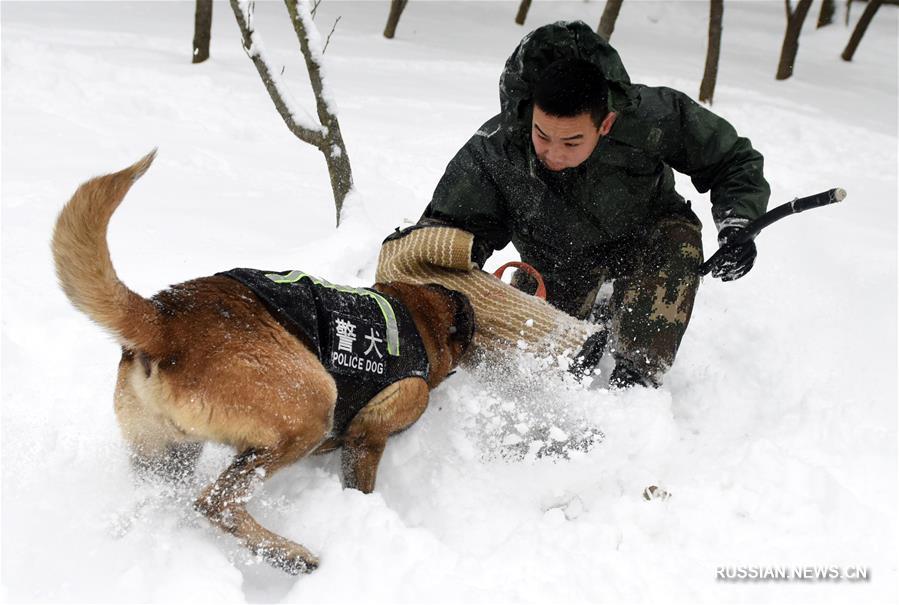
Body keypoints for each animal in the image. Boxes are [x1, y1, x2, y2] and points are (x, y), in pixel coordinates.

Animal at [54, 150, 478, 572]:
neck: (420, 316)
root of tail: (164, 319)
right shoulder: (374, 429)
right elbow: (362, 476)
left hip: (166, 455)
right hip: (311, 405)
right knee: (216, 502)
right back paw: (291, 556)